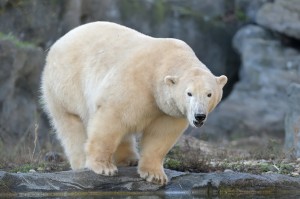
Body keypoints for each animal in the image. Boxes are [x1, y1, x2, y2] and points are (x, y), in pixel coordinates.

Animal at [40, 21, 227, 184]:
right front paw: (104, 167)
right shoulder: (136, 83)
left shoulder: (168, 110)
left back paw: (129, 159)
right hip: (66, 85)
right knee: (71, 125)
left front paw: (155, 175)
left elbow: (160, 135)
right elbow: (112, 118)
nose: (199, 116)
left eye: (209, 94)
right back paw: (82, 163)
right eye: (189, 93)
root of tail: (59, 42)